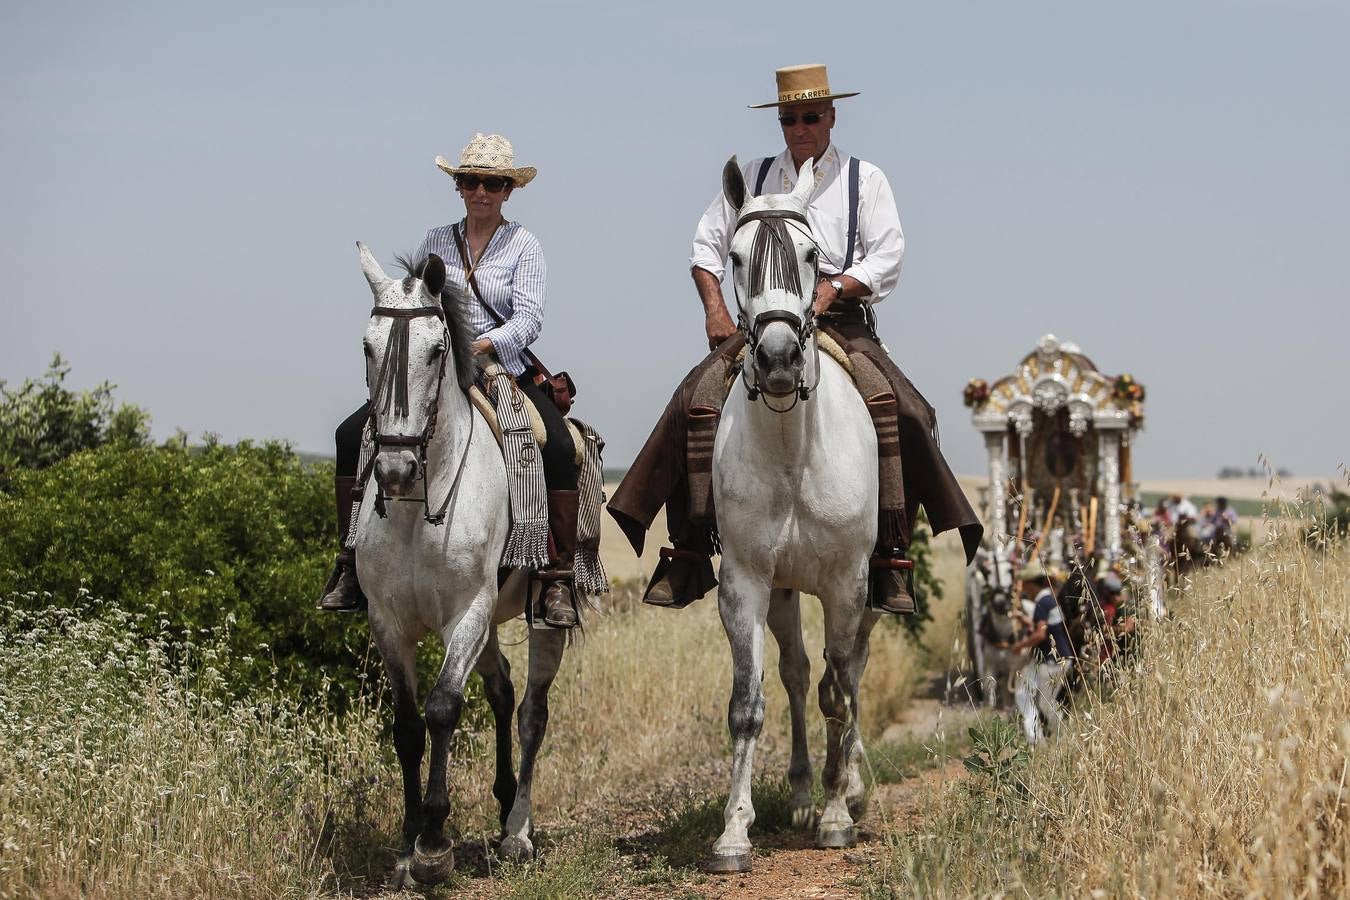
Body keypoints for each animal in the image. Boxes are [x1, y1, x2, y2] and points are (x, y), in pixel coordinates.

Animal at [353, 244, 564, 885]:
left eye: (436, 349)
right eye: (367, 347)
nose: (394, 470)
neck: (417, 509)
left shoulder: (467, 611)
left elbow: (443, 707)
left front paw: (434, 843)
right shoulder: (388, 624)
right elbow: (406, 725)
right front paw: (406, 846)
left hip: (538, 619)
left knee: (531, 710)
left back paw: (517, 831)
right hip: (492, 622)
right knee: (501, 690)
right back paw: (502, 805)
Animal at [707, 158, 885, 868]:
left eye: (812, 256)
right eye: (735, 257)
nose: (779, 359)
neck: (791, 452)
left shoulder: (846, 583)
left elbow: (840, 692)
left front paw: (839, 815)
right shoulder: (746, 583)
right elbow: (748, 703)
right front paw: (734, 829)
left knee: (849, 673)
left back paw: (848, 786)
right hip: (785, 592)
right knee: (796, 673)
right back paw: (806, 794)